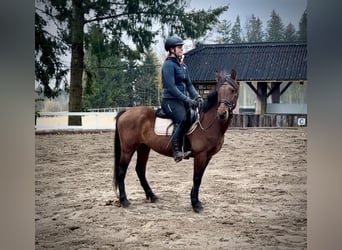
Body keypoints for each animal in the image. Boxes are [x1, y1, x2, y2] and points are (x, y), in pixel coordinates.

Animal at [113, 69, 239, 212]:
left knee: (140, 170)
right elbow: (197, 178)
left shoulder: (208, 156)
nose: (222, 113)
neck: (208, 122)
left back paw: (152, 196)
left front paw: (194, 200)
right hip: (128, 149)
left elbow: (199, 177)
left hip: (143, 147)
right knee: (121, 171)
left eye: (232, 90)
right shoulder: (200, 155)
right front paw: (196, 204)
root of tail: (125, 112)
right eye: (219, 91)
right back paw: (124, 200)